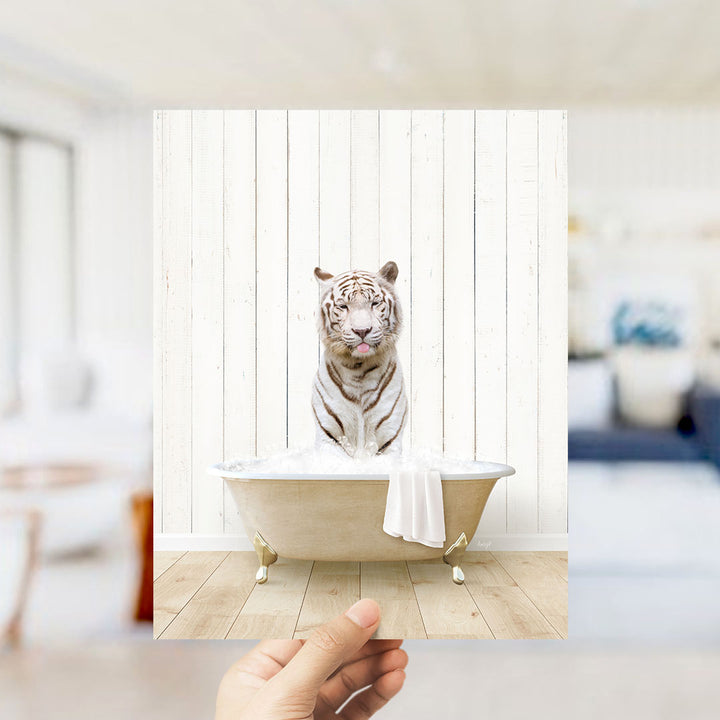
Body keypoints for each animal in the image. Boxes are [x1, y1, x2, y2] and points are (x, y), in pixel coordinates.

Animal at [312, 261, 408, 457]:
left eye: (374, 303)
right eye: (343, 306)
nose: (362, 331)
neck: (359, 369)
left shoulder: (389, 437)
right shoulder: (329, 436)